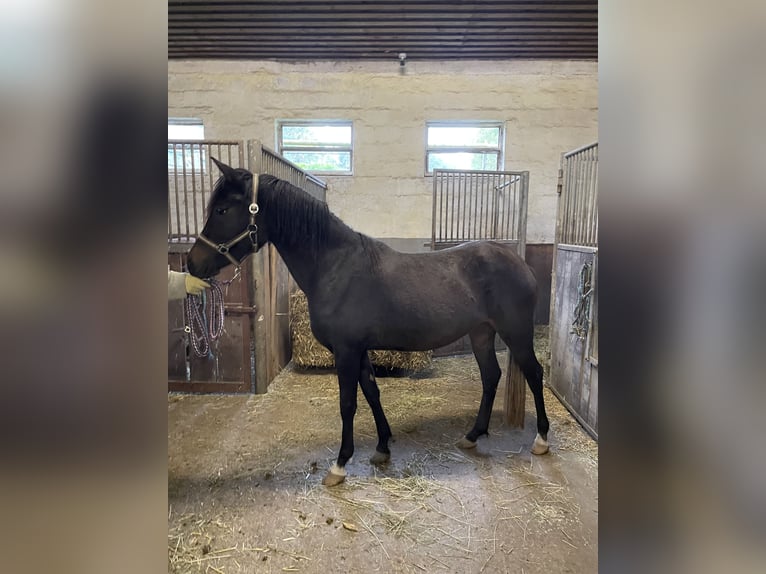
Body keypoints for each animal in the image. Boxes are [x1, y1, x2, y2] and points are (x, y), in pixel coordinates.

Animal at [187, 158, 550, 486]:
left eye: (222, 211)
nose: (192, 264)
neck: (335, 266)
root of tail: (519, 262)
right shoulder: (359, 350)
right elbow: (372, 393)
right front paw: (382, 447)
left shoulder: (346, 351)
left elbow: (348, 404)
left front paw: (340, 464)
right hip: (481, 333)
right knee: (491, 377)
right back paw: (473, 435)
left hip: (515, 332)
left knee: (534, 373)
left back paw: (542, 440)